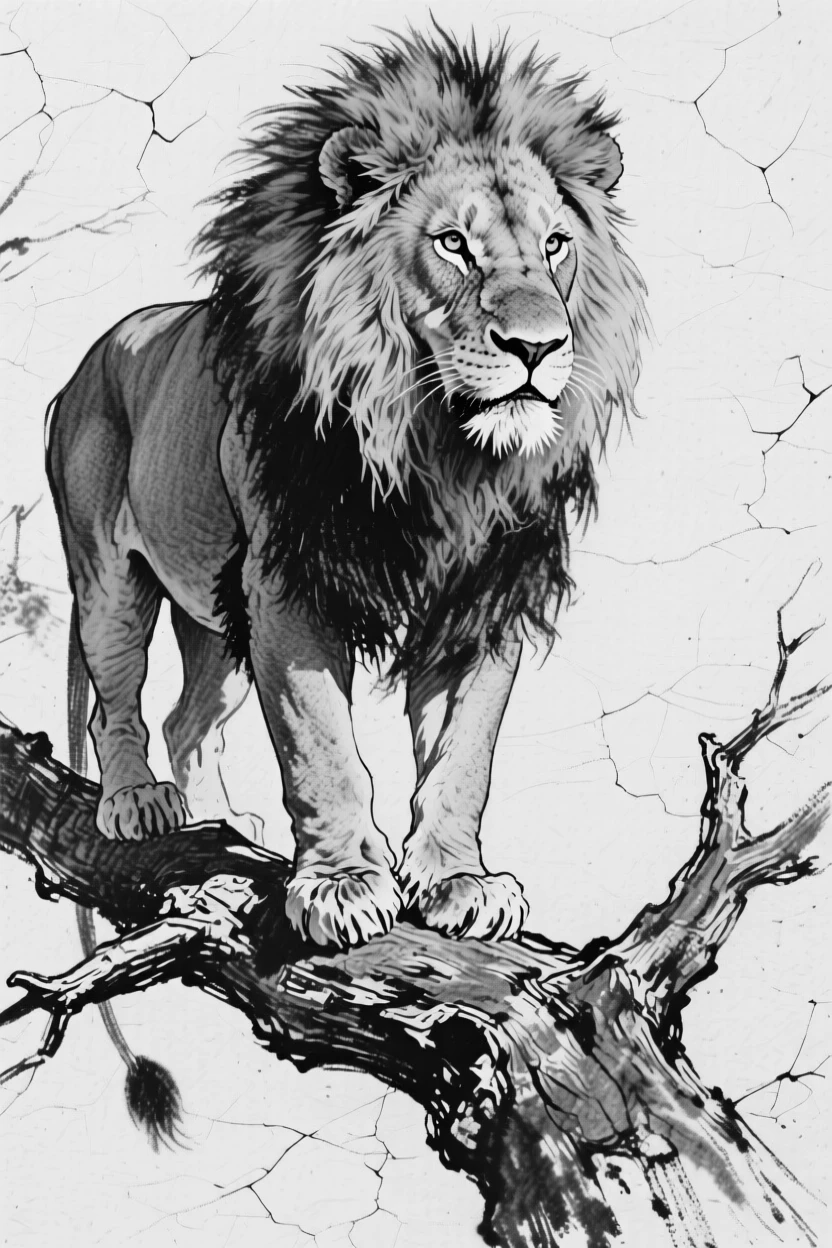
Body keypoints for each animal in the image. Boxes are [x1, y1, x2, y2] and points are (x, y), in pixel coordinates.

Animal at [48, 30, 646, 959]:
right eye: (453, 244)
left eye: (554, 245)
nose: (539, 347)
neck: (437, 449)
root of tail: (85, 362)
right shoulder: (290, 586)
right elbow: (323, 747)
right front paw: (340, 886)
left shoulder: (484, 594)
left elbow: (463, 757)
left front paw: (460, 880)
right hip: (110, 578)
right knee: (119, 704)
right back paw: (138, 802)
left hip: (217, 620)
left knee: (190, 720)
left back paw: (223, 825)